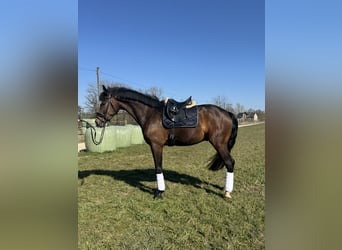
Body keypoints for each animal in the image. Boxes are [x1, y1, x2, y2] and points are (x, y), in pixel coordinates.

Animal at [94, 86, 238, 199]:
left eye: (103, 103)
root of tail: (227, 113)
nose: (97, 122)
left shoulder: (156, 145)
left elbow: (158, 168)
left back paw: (227, 192)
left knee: (229, 163)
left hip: (219, 144)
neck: (150, 114)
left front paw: (159, 192)